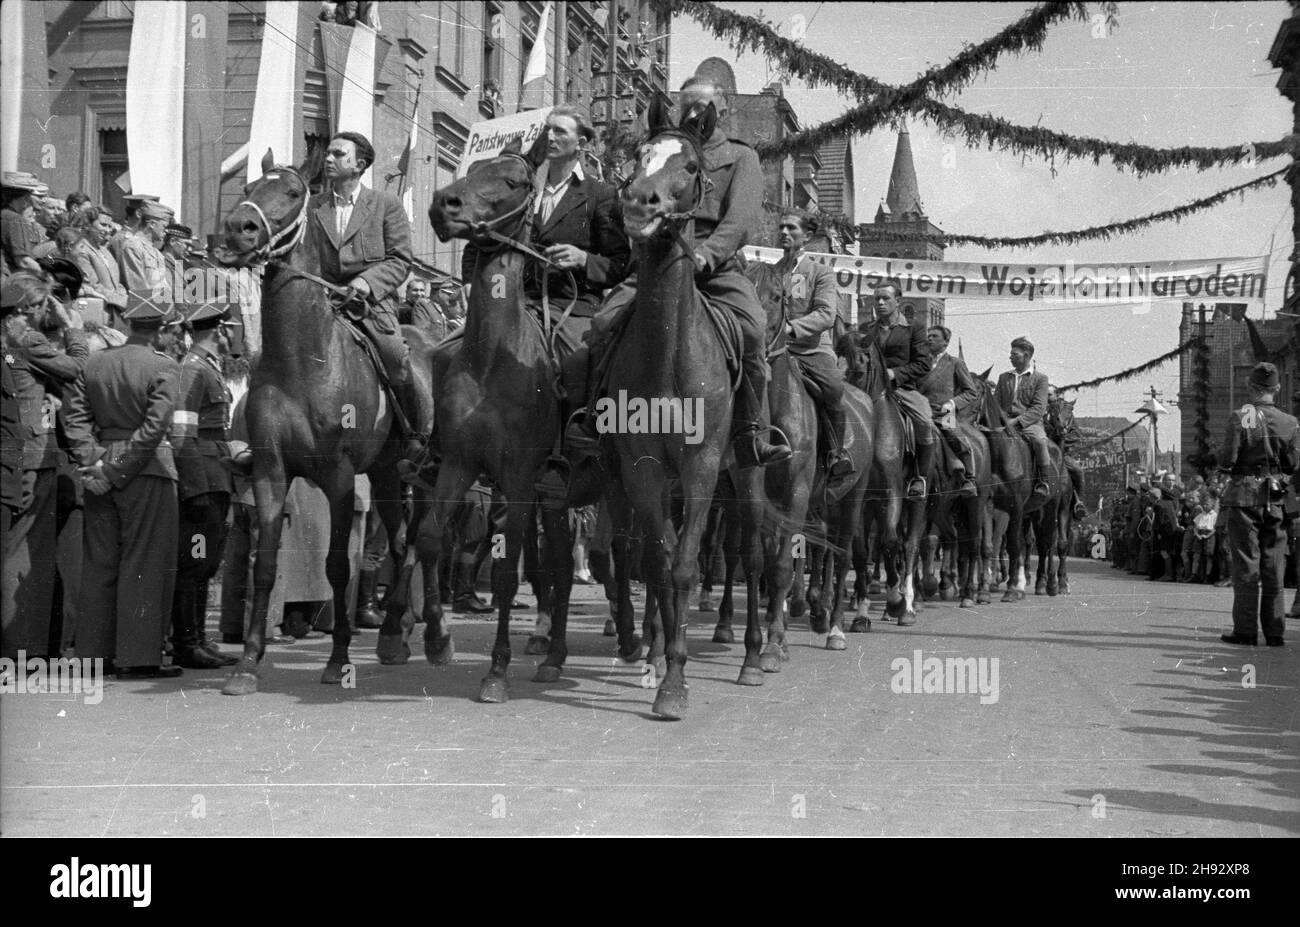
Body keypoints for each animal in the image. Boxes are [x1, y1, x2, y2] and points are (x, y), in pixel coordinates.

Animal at [215, 148, 434, 691]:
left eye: (293, 193)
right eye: (247, 185)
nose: (237, 229)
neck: (302, 360)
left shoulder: (337, 477)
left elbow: (337, 566)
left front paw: (338, 661)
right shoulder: (270, 472)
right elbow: (265, 566)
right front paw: (247, 662)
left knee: (416, 543)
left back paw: (405, 633)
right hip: (385, 474)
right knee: (401, 542)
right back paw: (395, 632)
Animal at [416, 128, 639, 696]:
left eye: (515, 181)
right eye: (475, 169)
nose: (443, 203)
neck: (493, 359)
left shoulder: (516, 478)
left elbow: (505, 572)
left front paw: (496, 669)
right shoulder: (461, 466)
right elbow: (431, 538)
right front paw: (437, 640)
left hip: (615, 488)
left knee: (619, 555)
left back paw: (635, 640)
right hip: (559, 499)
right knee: (562, 566)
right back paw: (554, 653)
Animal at [600, 92, 769, 717]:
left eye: (691, 167)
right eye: (638, 155)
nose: (636, 201)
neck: (670, 352)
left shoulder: (701, 467)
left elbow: (685, 565)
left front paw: (676, 679)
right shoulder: (644, 469)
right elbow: (656, 559)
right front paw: (659, 663)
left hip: (745, 475)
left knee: (753, 554)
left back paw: (753, 657)